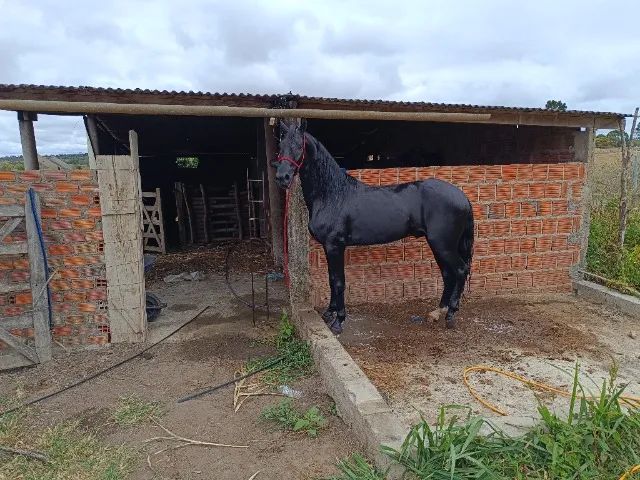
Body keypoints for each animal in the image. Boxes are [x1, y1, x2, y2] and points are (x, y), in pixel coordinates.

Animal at [273, 120, 474, 335]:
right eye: (280, 146)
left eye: (299, 146)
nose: (282, 177)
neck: (332, 195)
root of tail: (462, 197)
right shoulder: (329, 247)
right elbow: (331, 280)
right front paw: (329, 313)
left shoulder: (335, 246)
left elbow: (338, 281)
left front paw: (338, 321)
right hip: (438, 245)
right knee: (448, 274)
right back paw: (437, 312)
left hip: (443, 245)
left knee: (460, 270)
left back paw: (451, 314)